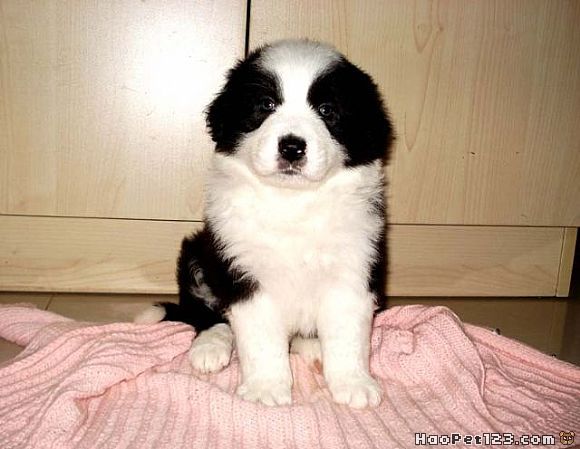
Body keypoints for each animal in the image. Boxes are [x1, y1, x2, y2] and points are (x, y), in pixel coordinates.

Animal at [135, 39, 393, 408]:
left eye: (327, 110)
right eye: (266, 105)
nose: (292, 147)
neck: (292, 204)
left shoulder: (354, 265)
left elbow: (348, 336)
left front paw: (354, 383)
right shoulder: (245, 271)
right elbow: (260, 340)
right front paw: (266, 388)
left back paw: (311, 345)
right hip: (197, 254)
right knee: (206, 314)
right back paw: (210, 348)